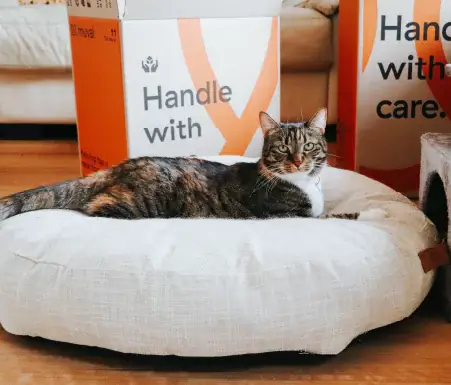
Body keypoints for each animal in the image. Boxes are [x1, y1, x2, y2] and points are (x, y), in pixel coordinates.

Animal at [0, 108, 384, 222]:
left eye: (308, 146)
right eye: (282, 149)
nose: (299, 160)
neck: (305, 186)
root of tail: (120, 166)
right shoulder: (288, 216)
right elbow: (335, 218)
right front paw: (372, 213)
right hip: (137, 202)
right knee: (95, 206)